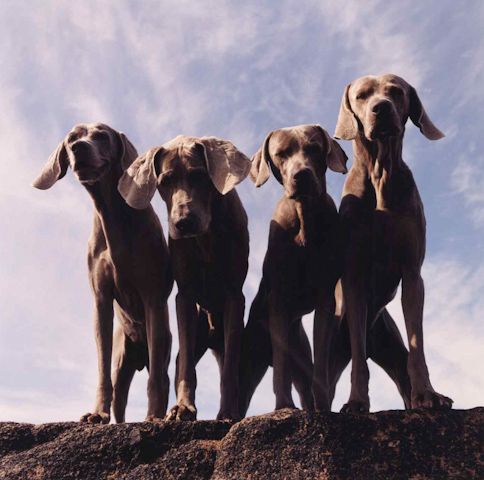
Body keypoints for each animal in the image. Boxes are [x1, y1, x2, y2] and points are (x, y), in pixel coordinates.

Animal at [32, 124, 173, 424]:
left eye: (101, 136)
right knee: (119, 396)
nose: (78, 148)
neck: (112, 217)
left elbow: (156, 379)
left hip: (162, 341)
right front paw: (98, 414)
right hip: (123, 359)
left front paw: (154, 415)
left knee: (161, 374)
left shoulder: (153, 298)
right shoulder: (101, 301)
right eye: (72, 138)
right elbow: (102, 368)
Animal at [119, 135, 251, 420]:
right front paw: (182, 407)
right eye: (164, 181)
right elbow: (187, 364)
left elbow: (230, 369)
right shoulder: (185, 295)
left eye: (200, 175)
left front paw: (228, 412)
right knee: (182, 360)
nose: (183, 222)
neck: (207, 236)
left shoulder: (235, 295)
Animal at [239, 125, 412, 414]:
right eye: (281, 153)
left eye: (315, 148)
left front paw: (322, 408)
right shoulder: (279, 300)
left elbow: (321, 360)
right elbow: (281, 367)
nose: (302, 175)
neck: (305, 217)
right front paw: (283, 406)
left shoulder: (325, 299)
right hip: (253, 357)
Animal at [334, 75, 452, 412]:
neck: (380, 175)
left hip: (390, 345)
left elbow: (417, 345)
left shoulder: (412, 273)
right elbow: (359, 359)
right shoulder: (354, 277)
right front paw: (357, 402)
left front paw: (428, 395)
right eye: (361, 95)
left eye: (396, 91)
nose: (381, 108)